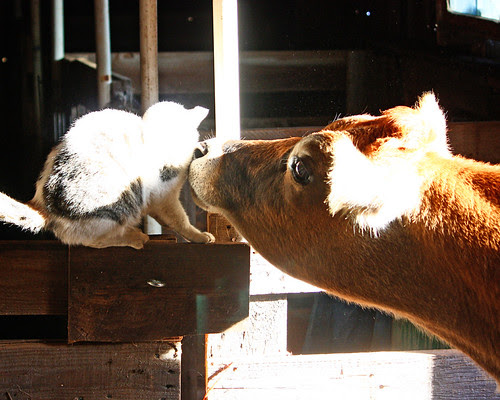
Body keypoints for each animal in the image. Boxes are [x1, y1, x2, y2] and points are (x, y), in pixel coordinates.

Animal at [0, 101, 215, 249]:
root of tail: (42, 205)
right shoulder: (164, 196)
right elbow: (179, 220)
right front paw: (200, 236)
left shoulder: (158, 200)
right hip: (115, 206)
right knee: (90, 240)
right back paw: (135, 237)